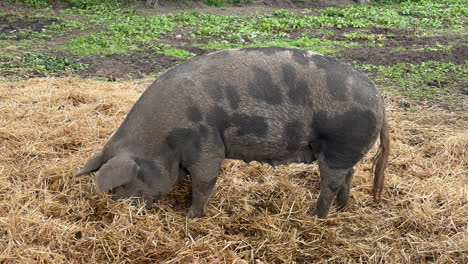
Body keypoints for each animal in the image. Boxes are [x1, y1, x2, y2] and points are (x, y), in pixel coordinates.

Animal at [75, 47, 390, 219]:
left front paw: (191, 216)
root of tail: (378, 98)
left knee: (331, 183)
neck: (162, 139)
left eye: (122, 185)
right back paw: (341, 209)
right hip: (344, 151)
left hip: (341, 145)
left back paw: (315, 216)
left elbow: (204, 182)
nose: (120, 209)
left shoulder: (206, 144)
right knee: (349, 175)